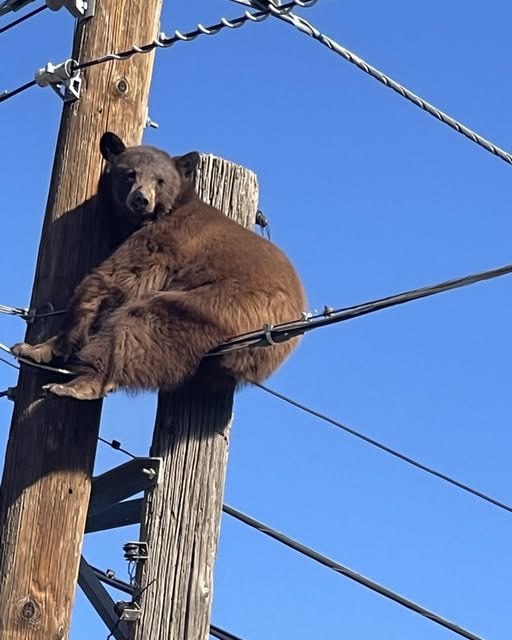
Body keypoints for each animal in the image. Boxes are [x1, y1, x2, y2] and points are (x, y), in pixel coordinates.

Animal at [11, 132, 307, 401]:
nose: (141, 199)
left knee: (141, 325)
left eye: (160, 180)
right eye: (130, 174)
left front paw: (37, 348)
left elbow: (115, 279)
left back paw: (79, 384)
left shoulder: (165, 240)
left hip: (226, 305)